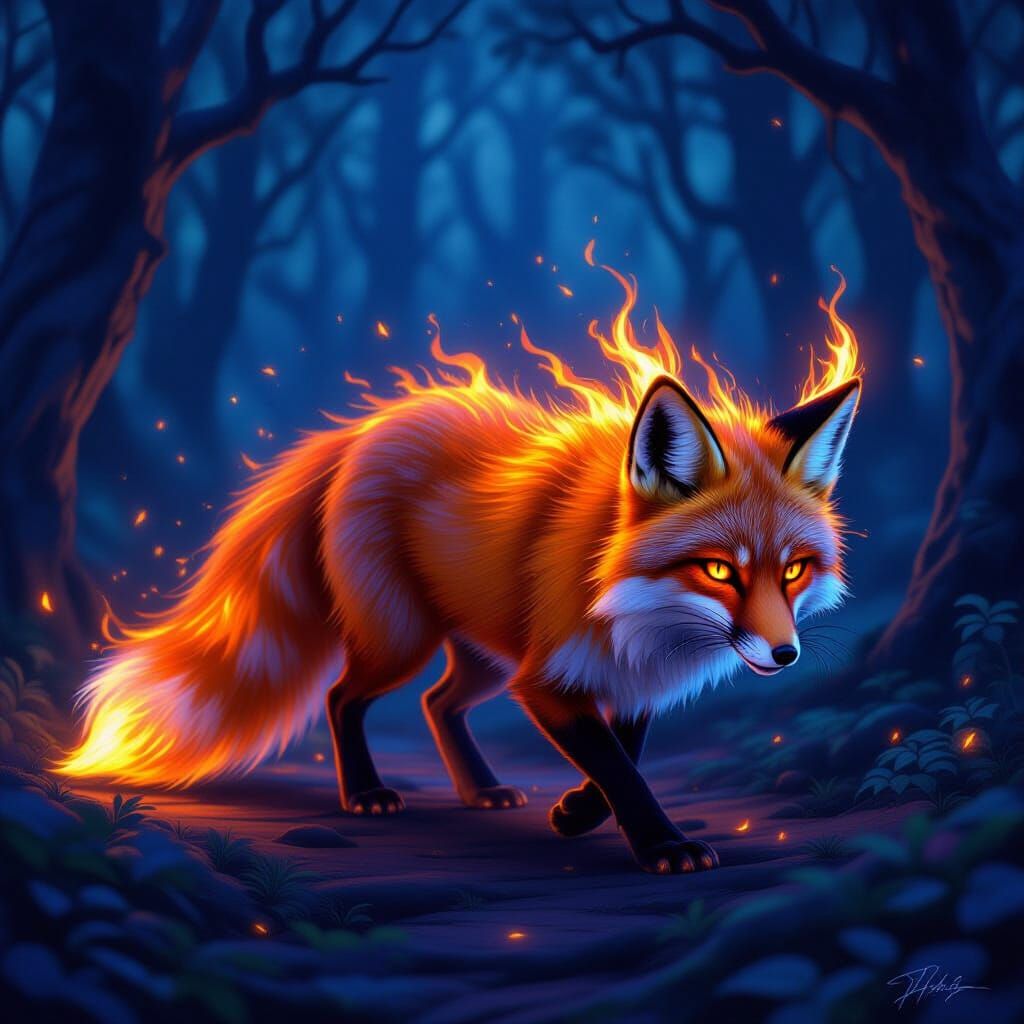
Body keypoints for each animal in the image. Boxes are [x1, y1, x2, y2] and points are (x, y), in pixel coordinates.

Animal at [60, 291, 860, 875]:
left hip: (480, 651)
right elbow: (618, 767)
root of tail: (365, 430)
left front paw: (577, 811)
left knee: (438, 703)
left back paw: (479, 788)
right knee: (344, 696)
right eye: (720, 569)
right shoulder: (547, 680)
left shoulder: (626, 678)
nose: (786, 655)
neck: (636, 606)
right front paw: (661, 843)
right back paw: (367, 793)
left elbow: (623, 755)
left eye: (793, 569)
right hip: (404, 639)